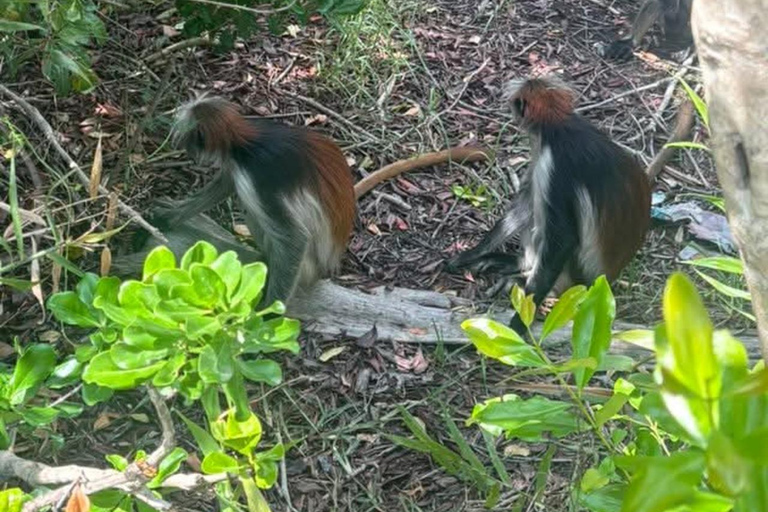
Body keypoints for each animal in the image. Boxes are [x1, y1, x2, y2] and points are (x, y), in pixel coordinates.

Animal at [120, 96, 490, 308]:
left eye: (187, 139)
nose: (183, 149)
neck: (246, 144)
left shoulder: (256, 175)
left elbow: (294, 238)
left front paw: (268, 314)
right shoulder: (239, 167)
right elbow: (224, 183)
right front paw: (170, 214)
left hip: (308, 267)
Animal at [447, 77, 653, 335]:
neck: (560, 126)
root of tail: (604, 280)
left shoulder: (553, 164)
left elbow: (562, 238)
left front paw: (519, 322)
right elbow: (523, 207)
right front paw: (475, 251)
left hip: (573, 277)